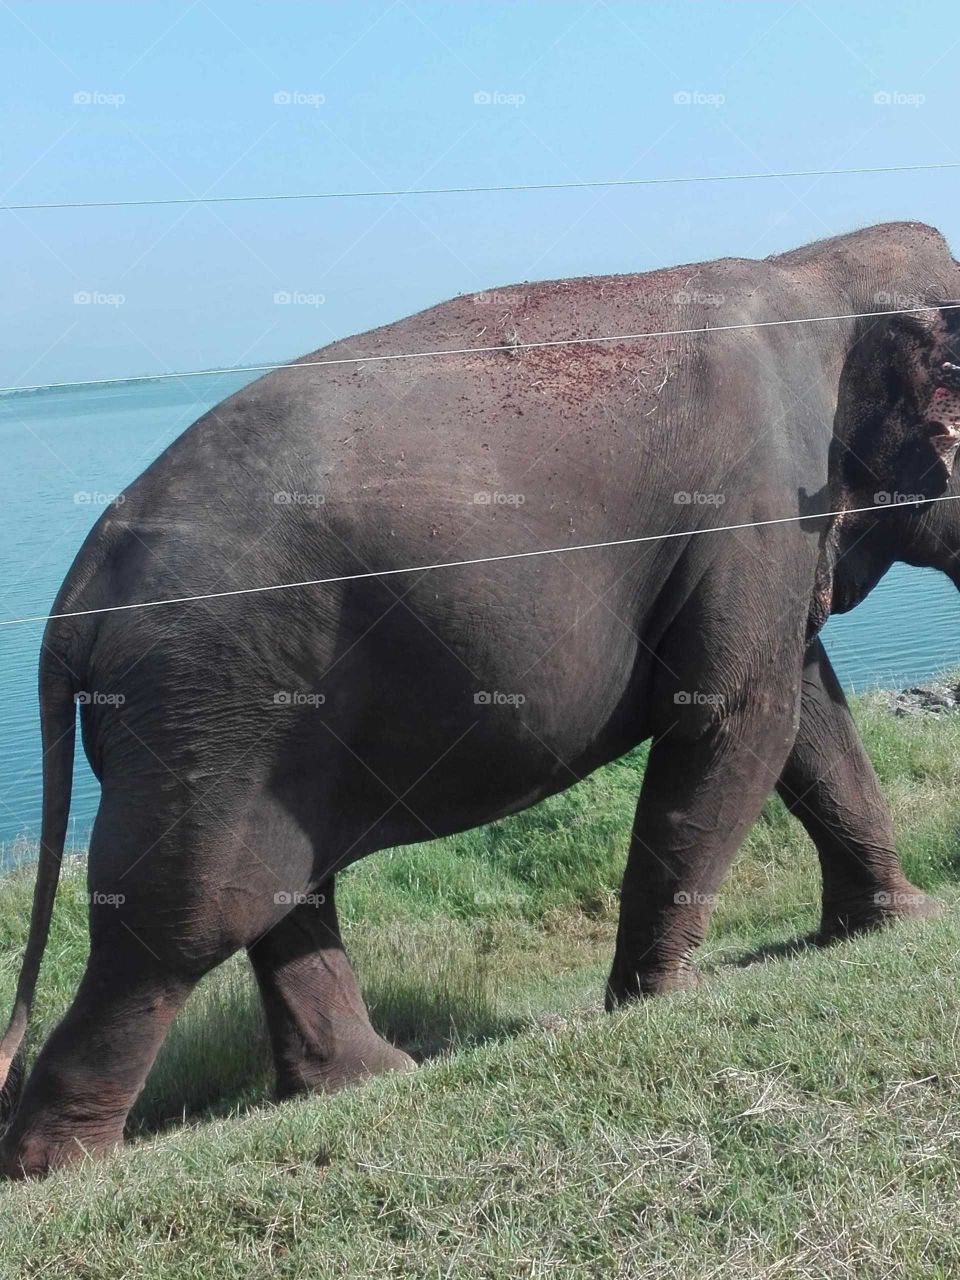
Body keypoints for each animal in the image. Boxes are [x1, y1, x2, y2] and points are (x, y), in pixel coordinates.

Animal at [1, 219, 959, 1178]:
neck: (816, 267)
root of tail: (80, 586)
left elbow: (809, 711)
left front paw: (903, 921)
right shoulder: (750, 510)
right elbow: (734, 716)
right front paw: (661, 1001)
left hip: (234, 714)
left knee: (280, 891)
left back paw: (370, 1079)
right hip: (208, 699)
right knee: (182, 918)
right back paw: (63, 1166)